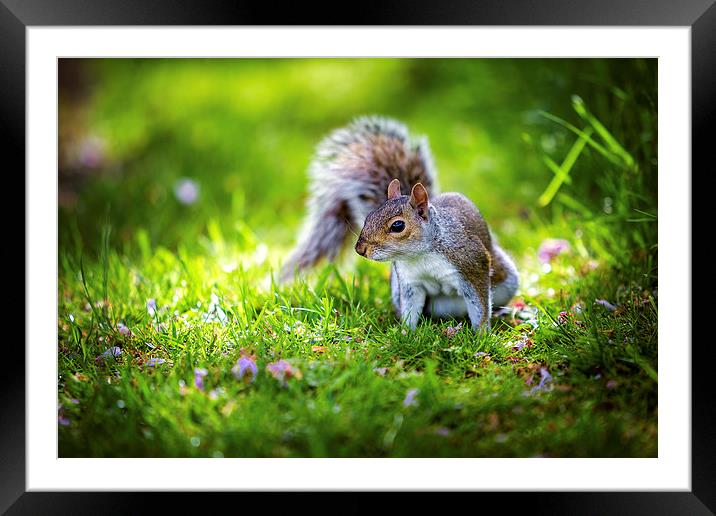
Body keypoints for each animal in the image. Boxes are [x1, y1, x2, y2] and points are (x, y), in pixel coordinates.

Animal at [276, 115, 516, 328]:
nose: (360, 249)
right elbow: (410, 309)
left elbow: (479, 306)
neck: (420, 255)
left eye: (398, 226)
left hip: (507, 280)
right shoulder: (409, 282)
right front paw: (405, 334)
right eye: (369, 216)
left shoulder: (472, 265)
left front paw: (481, 334)